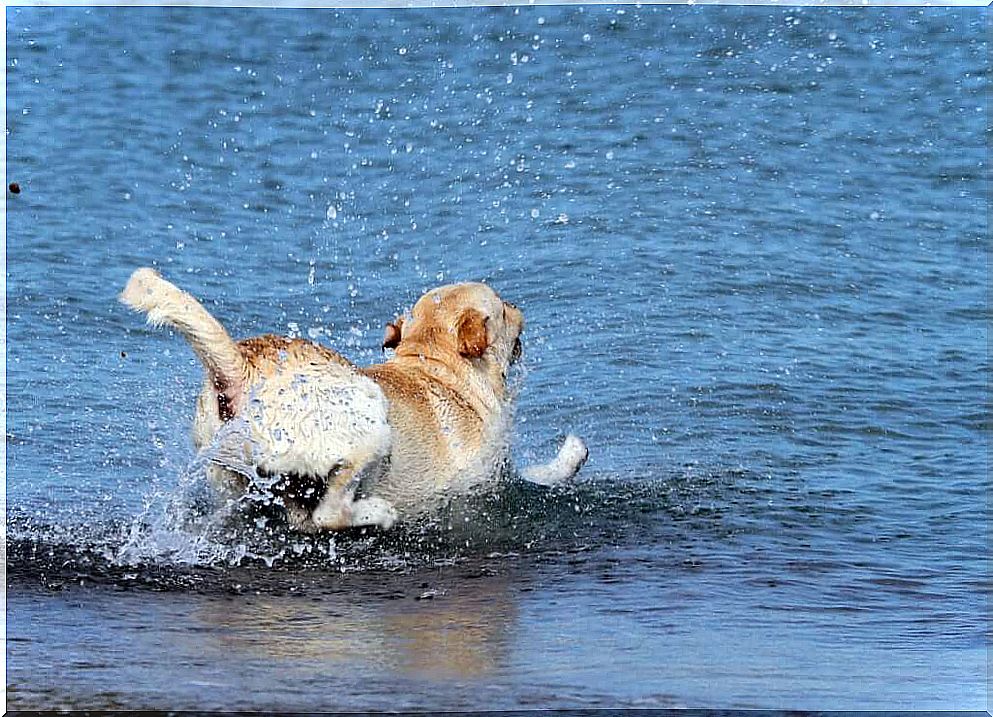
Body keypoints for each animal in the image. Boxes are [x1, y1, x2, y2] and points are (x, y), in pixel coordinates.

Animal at [122, 268, 588, 532]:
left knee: (298, 521)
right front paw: (572, 454)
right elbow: (544, 475)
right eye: (504, 309)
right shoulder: (483, 483)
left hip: (236, 484)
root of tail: (242, 369)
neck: (434, 363)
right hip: (370, 425)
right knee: (325, 516)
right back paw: (377, 513)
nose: (517, 304)